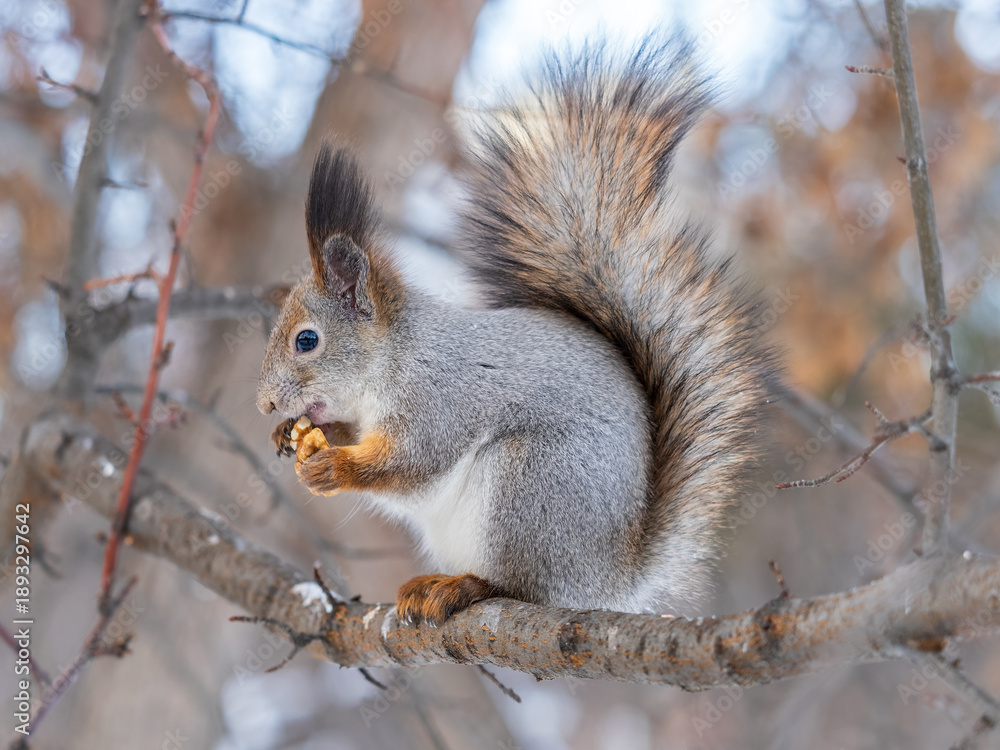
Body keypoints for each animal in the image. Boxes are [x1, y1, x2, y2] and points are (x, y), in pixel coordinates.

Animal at [256, 39, 775, 626]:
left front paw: (335, 467)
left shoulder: (440, 397)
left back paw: (464, 587)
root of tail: (606, 580)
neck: (392, 359)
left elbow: (412, 462)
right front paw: (289, 436)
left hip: (528, 485)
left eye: (307, 340)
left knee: (520, 586)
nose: (265, 403)